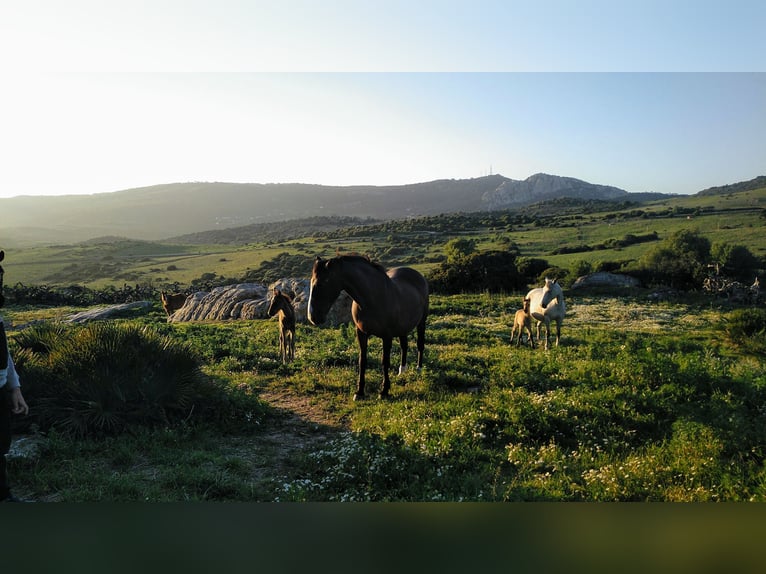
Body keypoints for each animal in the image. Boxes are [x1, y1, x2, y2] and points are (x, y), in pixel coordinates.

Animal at [307, 255, 429, 400]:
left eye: (322, 283)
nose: (312, 317)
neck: (372, 298)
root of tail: (417, 275)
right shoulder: (361, 333)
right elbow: (362, 360)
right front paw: (359, 392)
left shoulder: (386, 336)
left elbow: (385, 361)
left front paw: (384, 391)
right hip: (402, 328)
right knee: (404, 346)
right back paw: (402, 371)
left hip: (421, 322)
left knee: (420, 344)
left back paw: (419, 369)